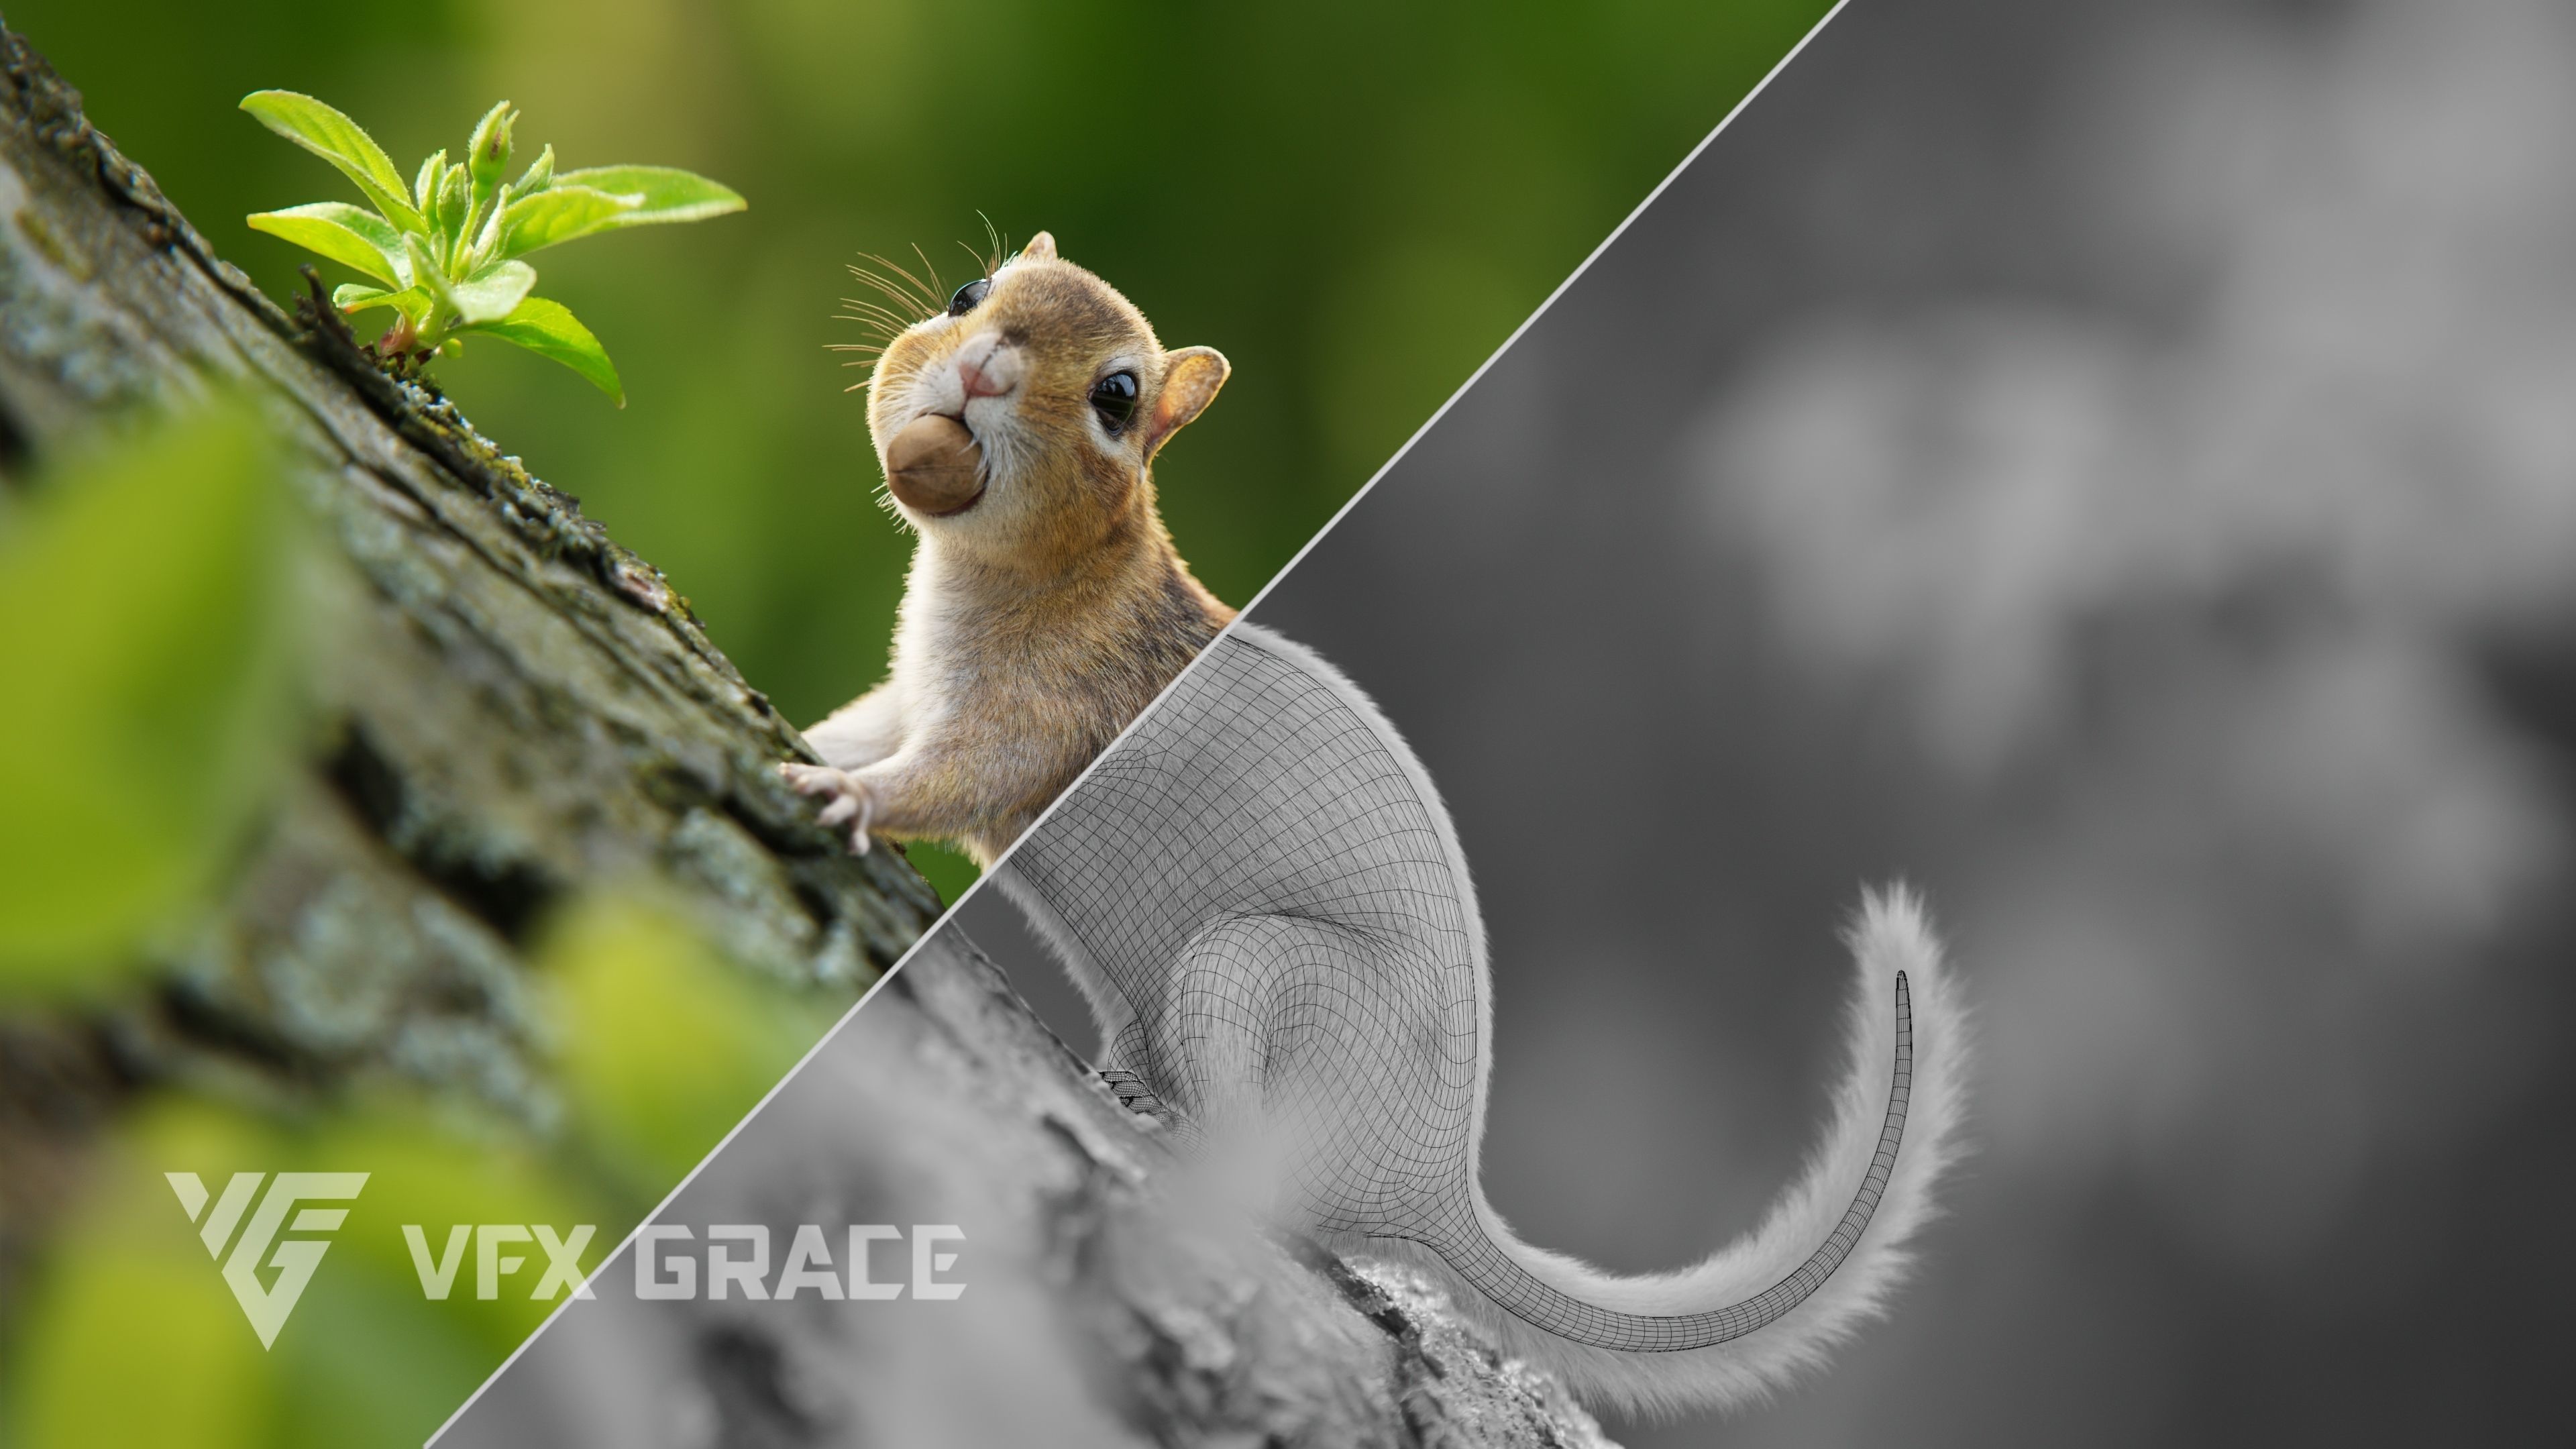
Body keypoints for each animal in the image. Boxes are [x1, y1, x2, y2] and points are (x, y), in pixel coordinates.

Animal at [783, 232, 1234, 866]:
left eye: (1118, 397)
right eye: (967, 295)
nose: (984, 367)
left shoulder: (1062, 704)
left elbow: (969, 773)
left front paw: (854, 791)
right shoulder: (909, 696)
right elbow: (860, 733)